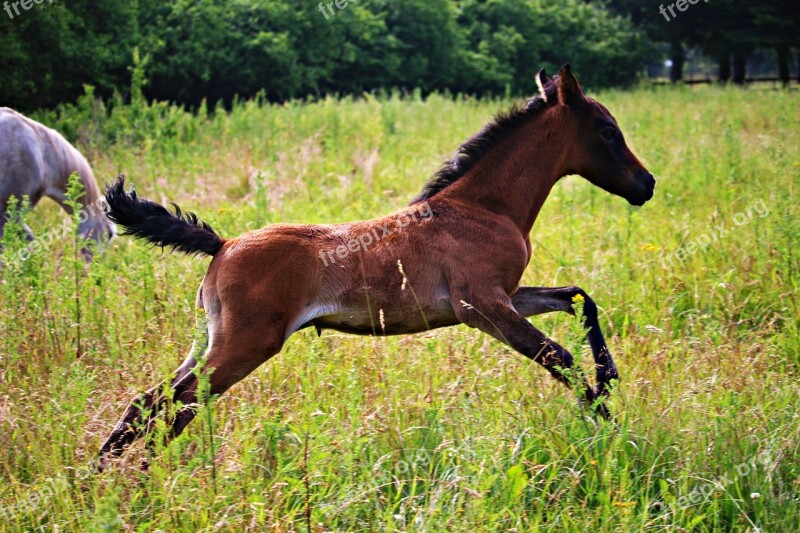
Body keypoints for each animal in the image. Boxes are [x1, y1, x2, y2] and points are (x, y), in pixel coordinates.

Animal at [97, 65, 652, 466]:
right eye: (607, 131)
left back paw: (107, 478)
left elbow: (578, 298)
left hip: (209, 339)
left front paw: (609, 377)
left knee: (150, 402)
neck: (483, 206)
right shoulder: (482, 306)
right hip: (243, 345)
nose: (646, 184)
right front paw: (608, 422)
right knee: (177, 404)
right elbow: (560, 356)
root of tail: (224, 244)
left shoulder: (507, 296)